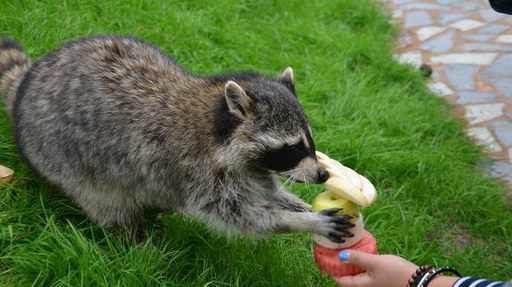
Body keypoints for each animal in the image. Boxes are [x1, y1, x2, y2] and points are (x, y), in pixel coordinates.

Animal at [0, 36, 352, 242]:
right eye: (292, 148)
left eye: (309, 142)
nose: (323, 174)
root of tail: (28, 84)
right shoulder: (189, 169)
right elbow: (241, 216)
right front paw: (300, 221)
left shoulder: (249, 169)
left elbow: (265, 190)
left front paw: (293, 203)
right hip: (59, 158)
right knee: (105, 201)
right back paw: (134, 237)